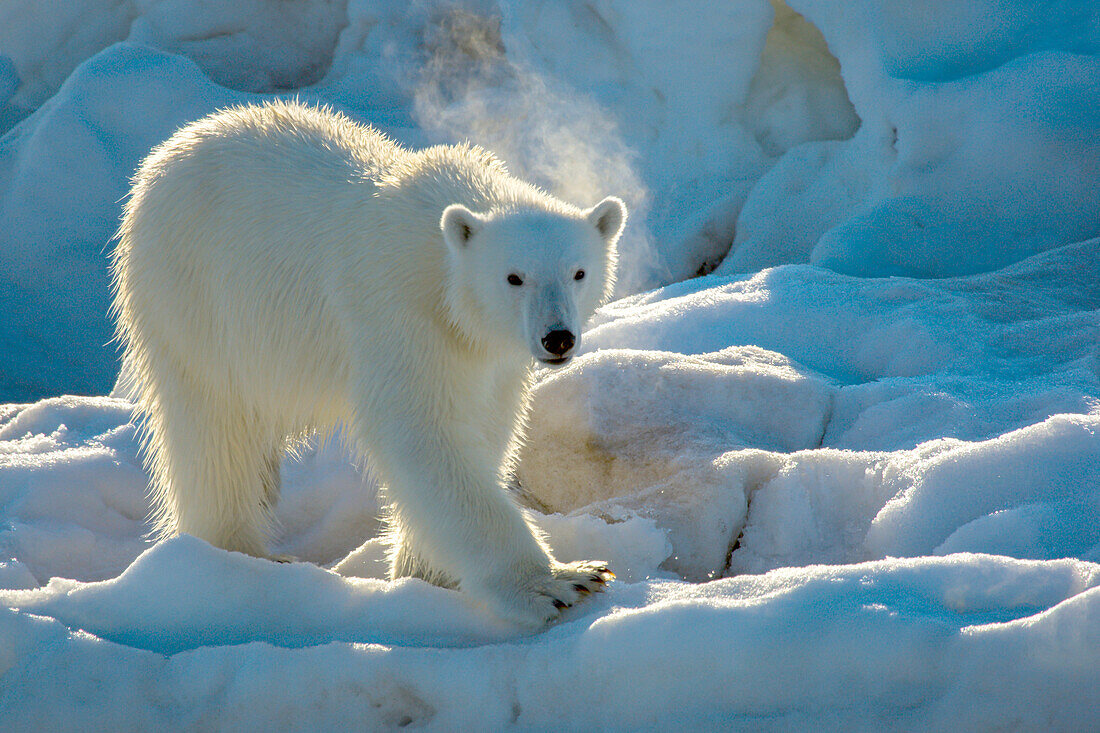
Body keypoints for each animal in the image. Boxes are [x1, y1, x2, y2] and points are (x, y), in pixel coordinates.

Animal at [113, 100, 629, 625]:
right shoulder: (398, 315)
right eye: (514, 277)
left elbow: (488, 425)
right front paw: (558, 582)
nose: (557, 338)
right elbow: (423, 435)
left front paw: (425, 571)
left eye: (578, 272)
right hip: (196, 300)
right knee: (214, 431)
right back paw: (238, 557)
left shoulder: (491, 356)